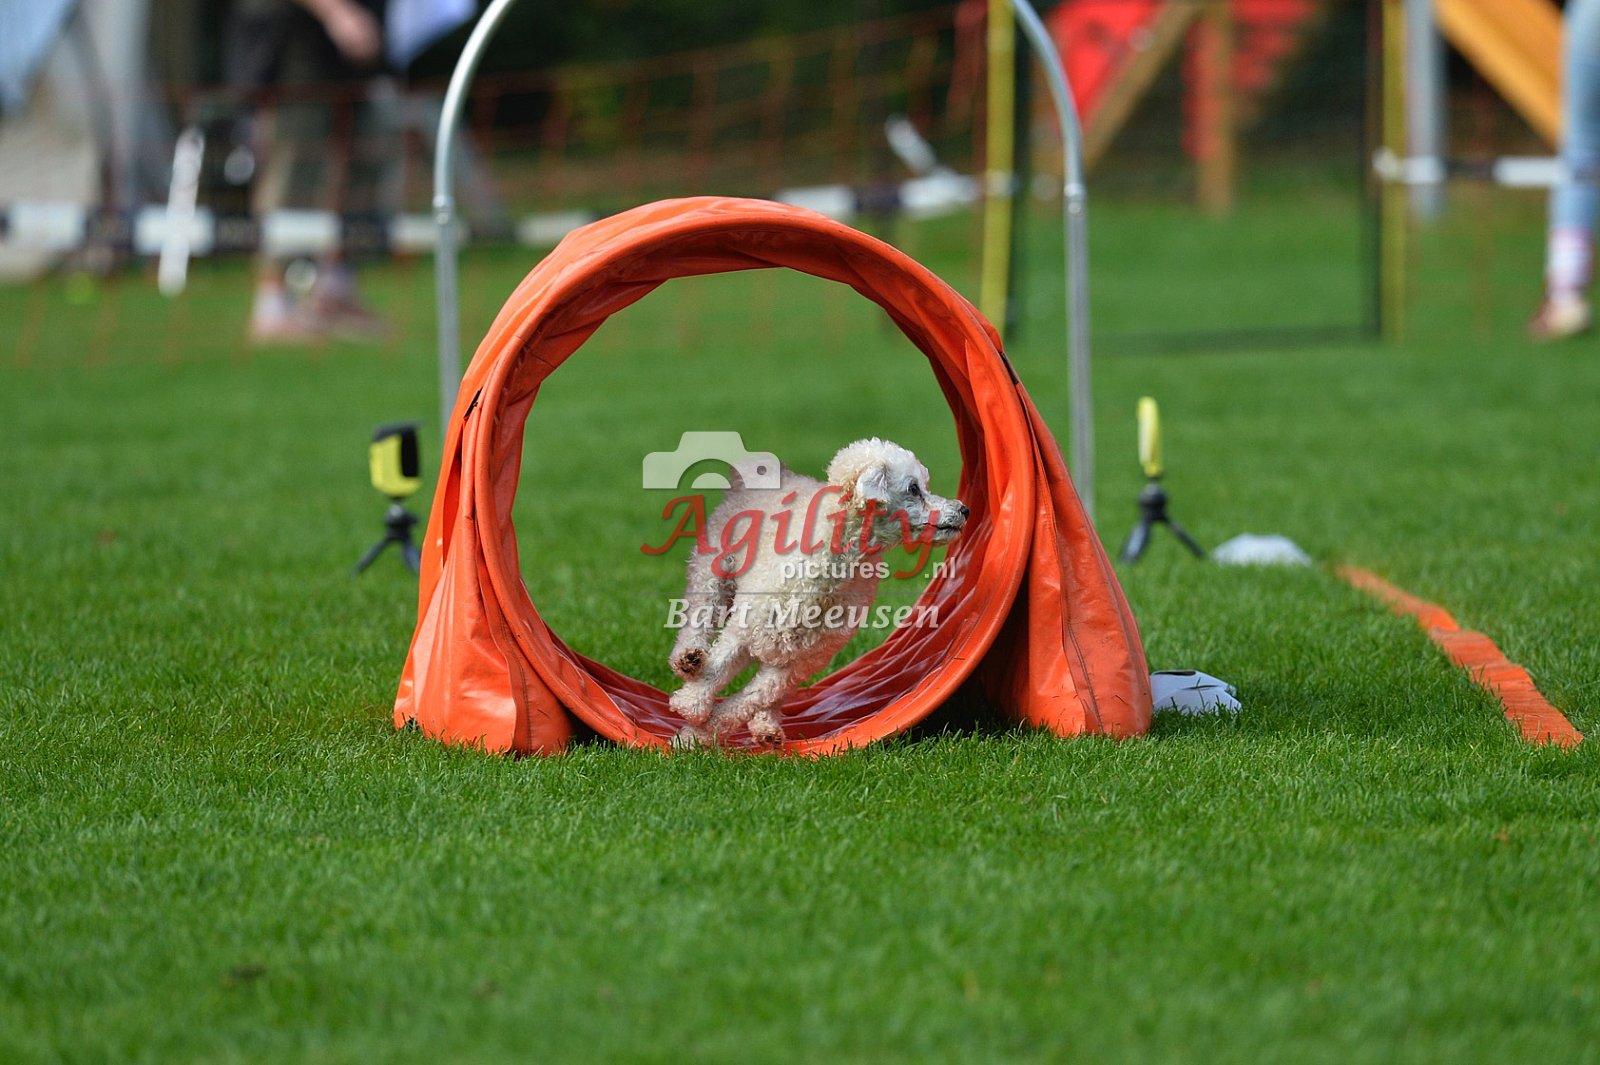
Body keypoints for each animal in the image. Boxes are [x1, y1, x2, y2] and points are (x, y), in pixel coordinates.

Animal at [667, 438, 968, 748]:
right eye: (913, 488)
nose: (963, 510)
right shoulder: (745, 629)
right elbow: (718, 666)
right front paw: (690, 706)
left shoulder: (798, 663)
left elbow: (753, 698)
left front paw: (699, 733)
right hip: (712, 571)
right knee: (698, 617)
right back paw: (688, 660)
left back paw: (766, 727)